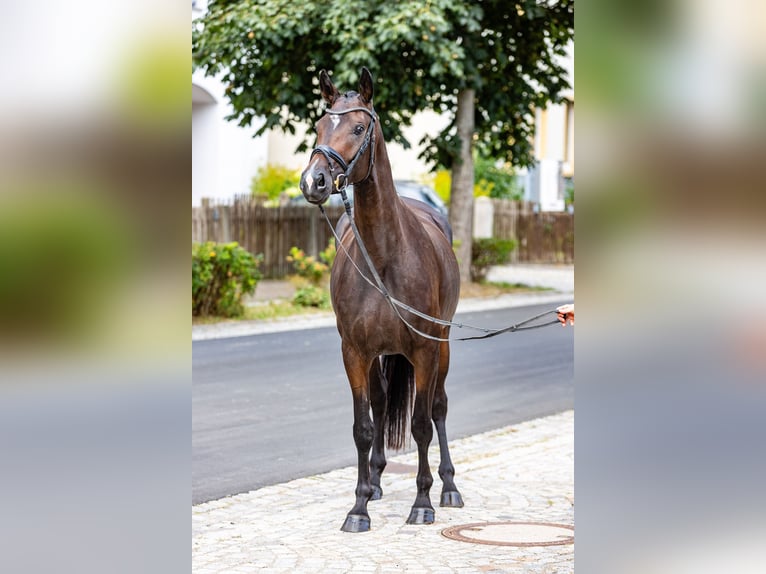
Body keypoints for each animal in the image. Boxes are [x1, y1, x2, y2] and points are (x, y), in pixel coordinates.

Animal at [302, 68, 464, 536]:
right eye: (318, 126)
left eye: (359, 128)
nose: (313, 181)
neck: (385, 257)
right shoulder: (354, 351)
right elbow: (363, 426)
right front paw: (358, 508)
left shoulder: (425, 350)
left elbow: (421, 424)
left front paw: (423, 502)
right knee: (378, 406)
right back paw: (374, 481)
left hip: (444, 345)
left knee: (439, 409)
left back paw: (449, 487)